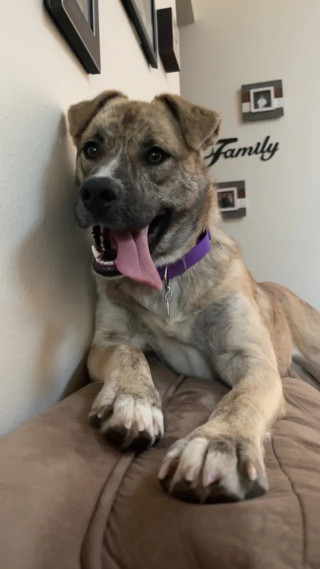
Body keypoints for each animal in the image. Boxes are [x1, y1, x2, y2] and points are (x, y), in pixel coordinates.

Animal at [67, 90, 320, 502]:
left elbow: (241, 399)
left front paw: (220, 443)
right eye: (91, 148)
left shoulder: (252, 359)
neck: (169, 275)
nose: (97, 191)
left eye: (155, 155)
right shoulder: (109, 339)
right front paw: (132, 401)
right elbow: (129, 353)